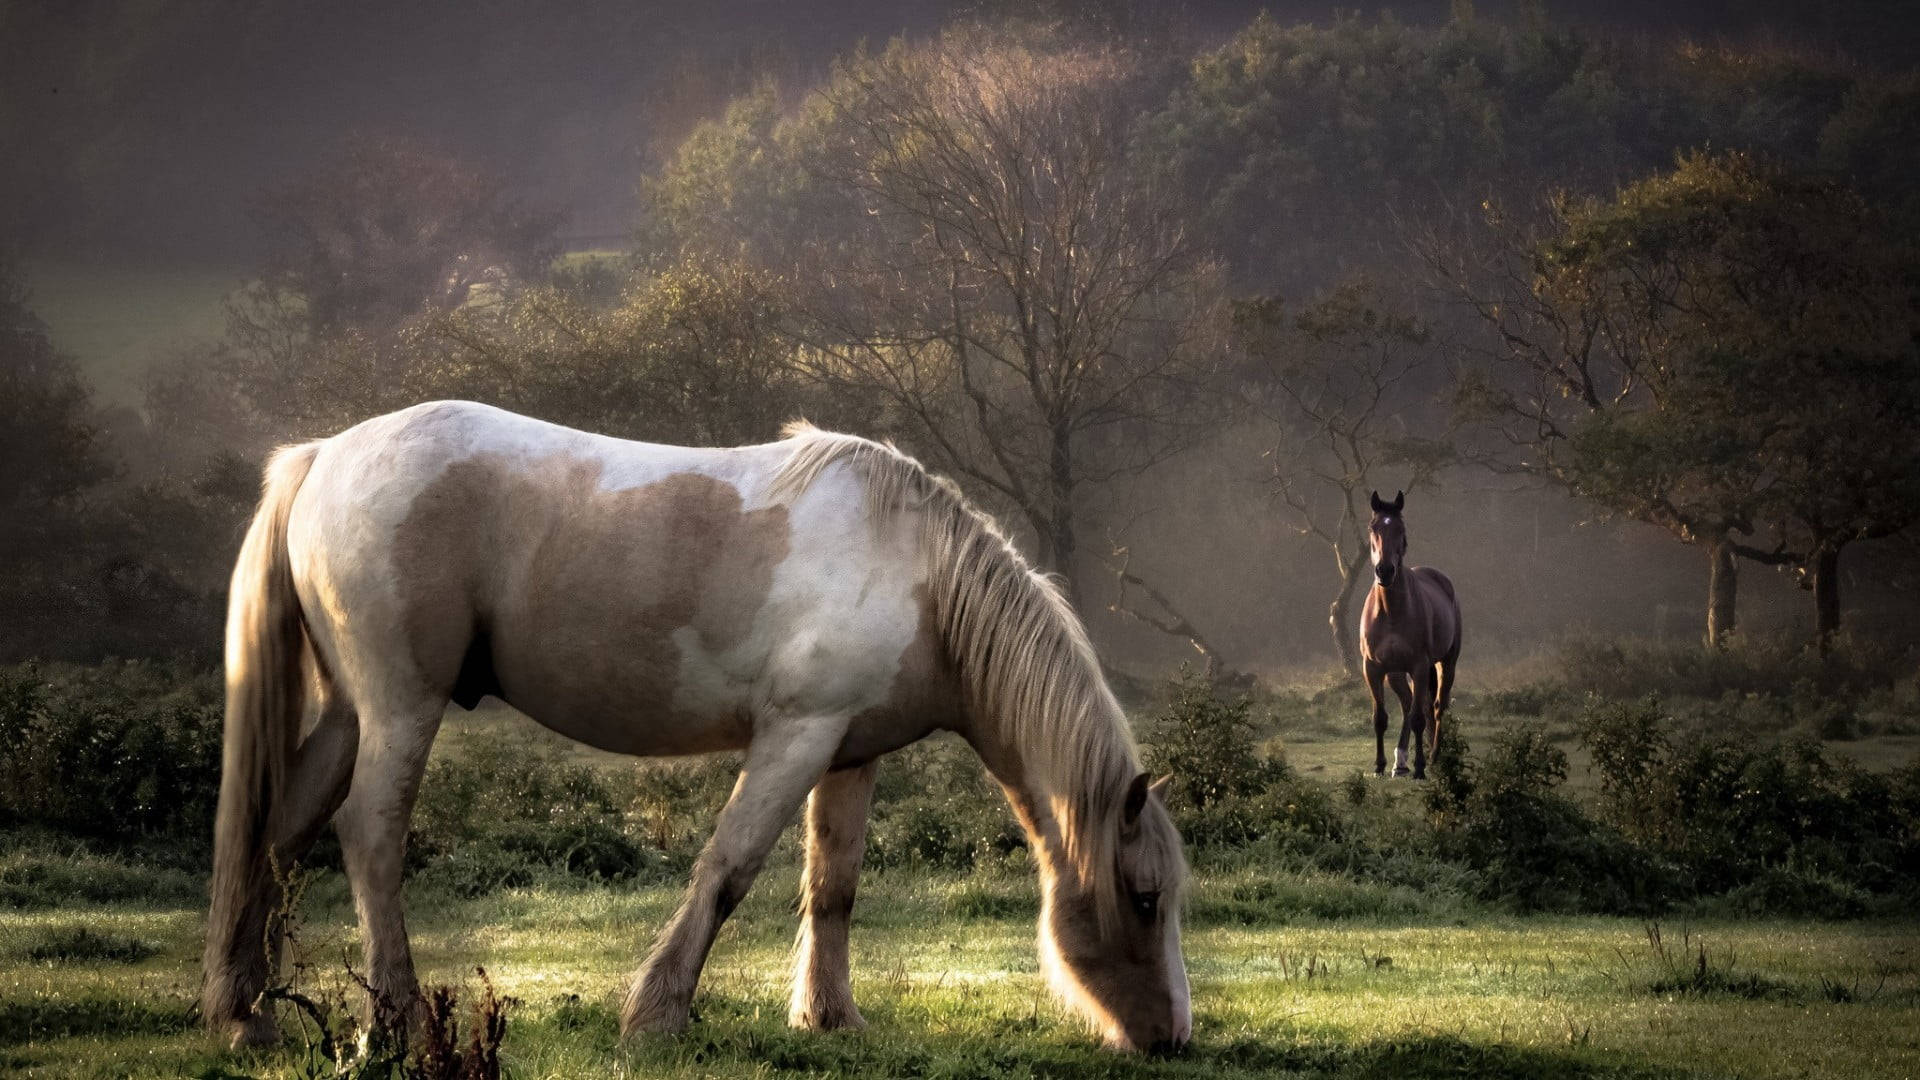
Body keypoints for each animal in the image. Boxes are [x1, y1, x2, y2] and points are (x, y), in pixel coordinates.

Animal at [1359, 488, 1459, 772]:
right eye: (1372, 528)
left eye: (1401, 529)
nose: (1384, 570)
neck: (1391, 612)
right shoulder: (1373, 668)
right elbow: (1380, 718)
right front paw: (1379, 765)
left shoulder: (1419, 665)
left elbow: (1418, 718)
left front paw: (1421, 769)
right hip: (1395, 673)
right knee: (1407, 704)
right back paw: (1400, 761)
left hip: (1445, 664)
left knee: (1436, 707)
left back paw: (1434, 757)